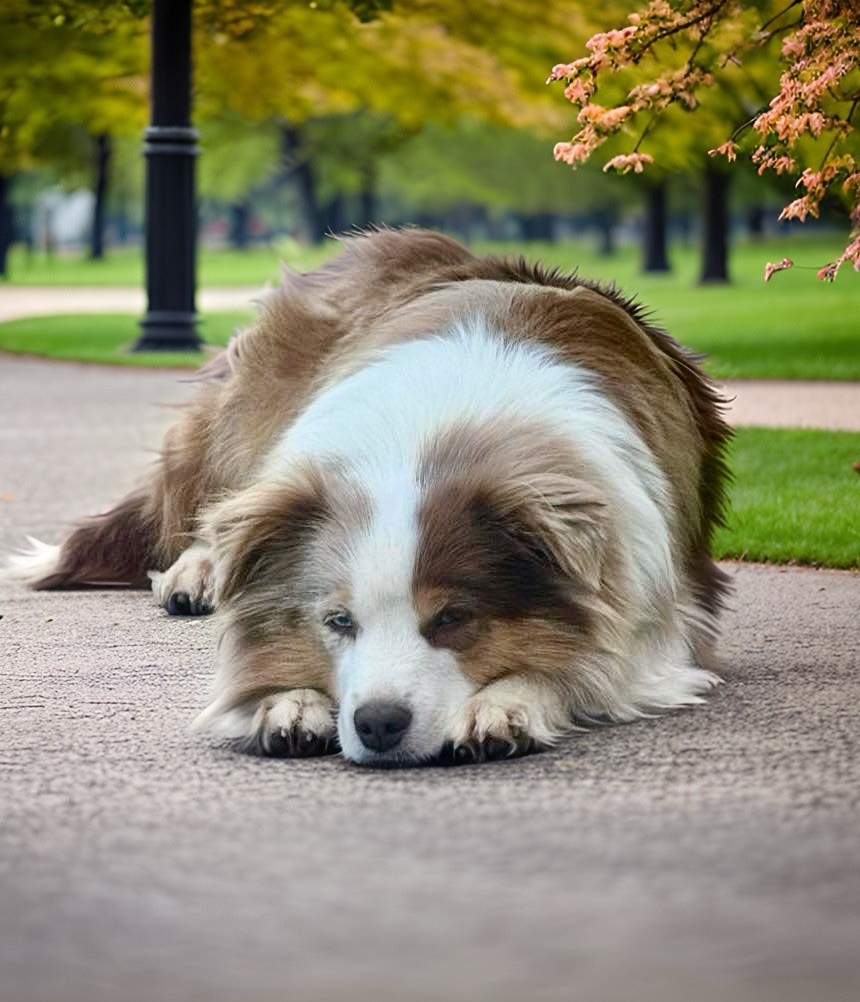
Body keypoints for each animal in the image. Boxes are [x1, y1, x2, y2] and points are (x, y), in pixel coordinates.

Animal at [6, 229, 729, 765]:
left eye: (453, 618)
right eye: (338, 622)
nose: (378, 723)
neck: (435, 438)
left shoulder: (665, 612)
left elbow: (588, 663)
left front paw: (508, 701)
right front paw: (290, 700)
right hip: (243, 419)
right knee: (209, 518)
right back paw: (197, 573)